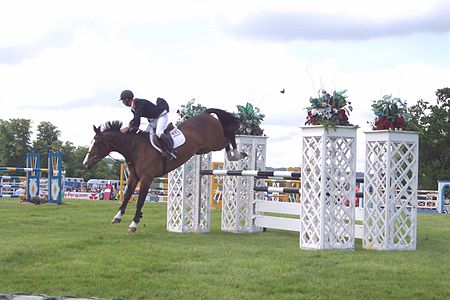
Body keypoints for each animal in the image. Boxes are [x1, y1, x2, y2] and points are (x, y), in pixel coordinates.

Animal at [83, 109, 246, 233]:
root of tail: (206, 114)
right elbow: (128, 195)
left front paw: (134, 223)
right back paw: (232, 154)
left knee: (229, 135)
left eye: (97, 143)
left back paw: (237, 153)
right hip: (205, 148)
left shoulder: (146, 178)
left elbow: (140, 201)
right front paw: (117, 216)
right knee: (226, 139)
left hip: (215, 141)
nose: (85, 164)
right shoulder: (134, 177)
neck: (136, 148)